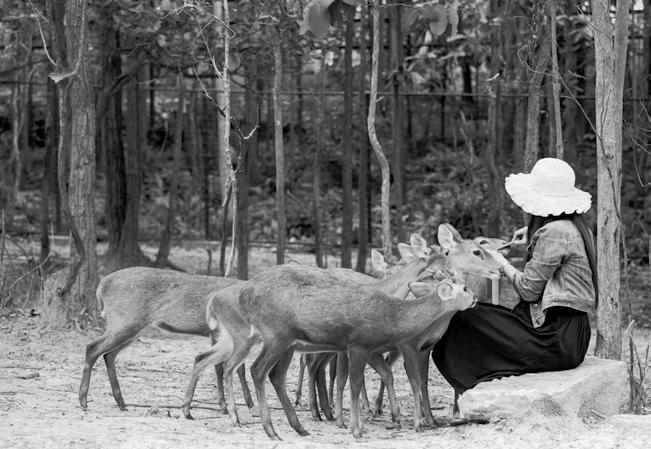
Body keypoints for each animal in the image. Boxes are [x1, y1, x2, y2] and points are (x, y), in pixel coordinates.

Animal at [79, 266, 255, 412]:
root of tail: (102, 285)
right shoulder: (220, 332)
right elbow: (224, 368)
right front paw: (230, 406)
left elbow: (233, 367)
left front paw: (246, 403)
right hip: (125, 320)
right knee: (92, 347)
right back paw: (83, 401)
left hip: (132, 327)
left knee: (109, 355)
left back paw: (121, 402)